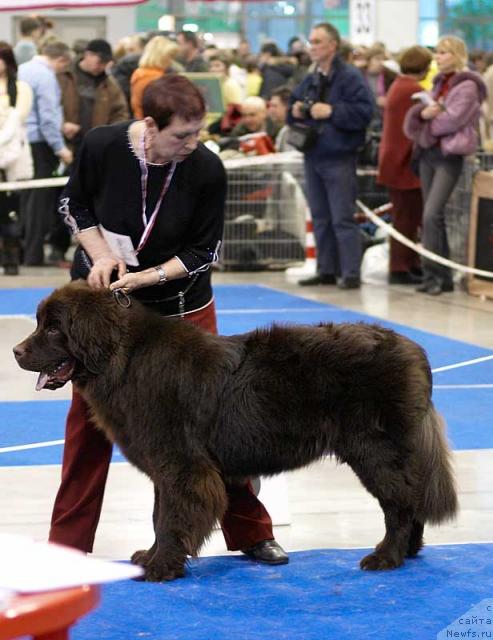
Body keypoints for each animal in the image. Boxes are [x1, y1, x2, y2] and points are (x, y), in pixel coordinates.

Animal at [12, 282, 458, 584]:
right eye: (38, 324)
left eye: (53, 329)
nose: (16, 351)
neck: (124, 358)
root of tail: (413, 349)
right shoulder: (166, 466)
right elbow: (159, 515)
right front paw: (150, 556)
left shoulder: (182, 465)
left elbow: (172, 517)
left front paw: (162, 567)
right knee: (410, 497)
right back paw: (409, 552)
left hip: (375, 450)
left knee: (400, 503)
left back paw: (386, 557)